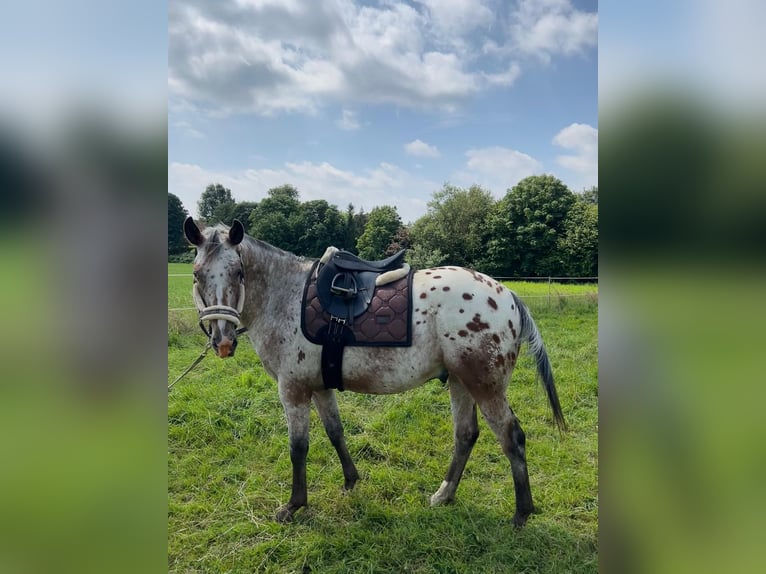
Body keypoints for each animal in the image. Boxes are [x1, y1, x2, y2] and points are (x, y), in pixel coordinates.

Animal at [183, 218, 568, 528]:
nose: (222, 340)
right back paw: (444, 495)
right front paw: (351, 481)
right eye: (197, 274)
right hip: (460, 382)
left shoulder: (292, 389)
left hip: (485, 386)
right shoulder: (319, 386)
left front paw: (293, 506)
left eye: (238, 273)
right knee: (466, 435)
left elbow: (298, 447)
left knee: (512, 437)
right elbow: (335, 432)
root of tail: (509, 295)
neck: (285, 296)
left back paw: (521, 513)